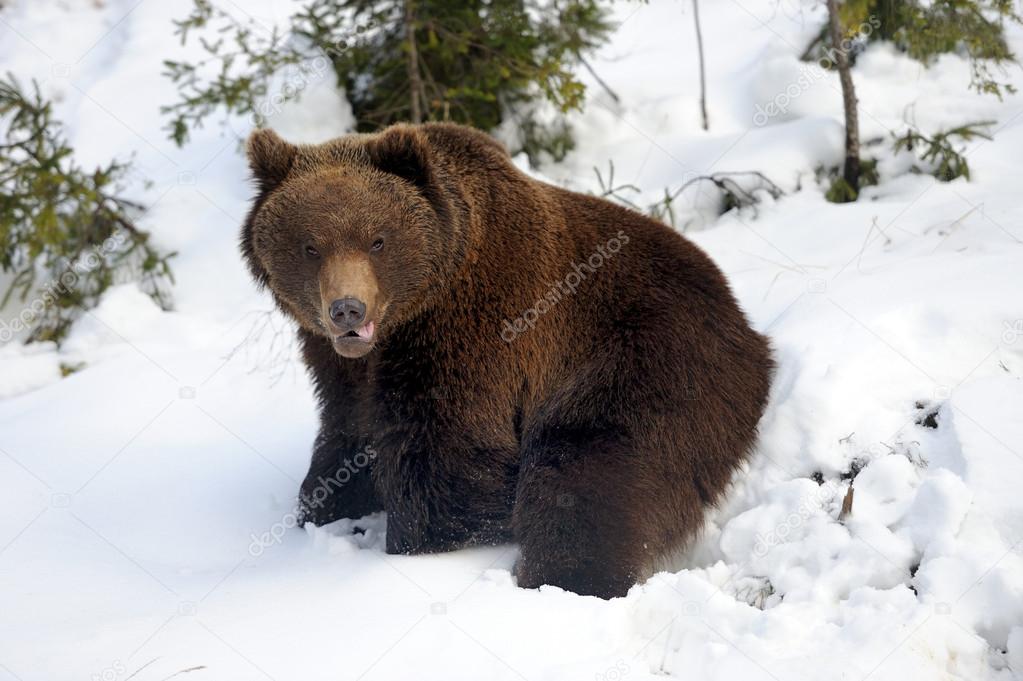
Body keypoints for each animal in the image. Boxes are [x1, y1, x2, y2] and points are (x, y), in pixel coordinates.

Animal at [239, 120, 769, 593]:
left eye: (377, 240)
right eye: (310, 246)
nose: (347, 308)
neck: (402, 322)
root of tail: (740, 314)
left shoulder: (474, 330)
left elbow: (450, 457)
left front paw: (417, 544)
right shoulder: (338, 362)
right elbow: (348, 434)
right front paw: (328, 510)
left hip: (650, 355)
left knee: (594, 464)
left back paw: (565, 578)